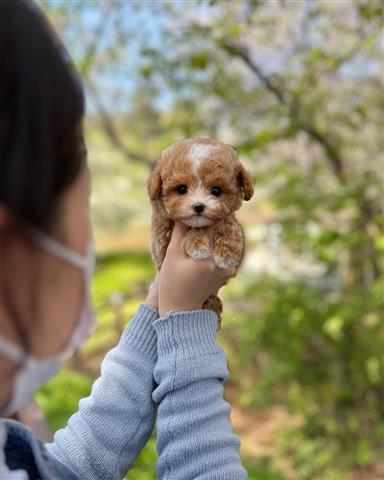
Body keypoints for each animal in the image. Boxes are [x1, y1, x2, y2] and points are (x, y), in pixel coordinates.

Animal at [148, 137, 254, 328]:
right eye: (181, 189)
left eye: (216, 191)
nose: (198, 206)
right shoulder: (161, 243)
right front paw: (198, 246)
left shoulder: (230, 220)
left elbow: (231, 227)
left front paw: (226, 254)